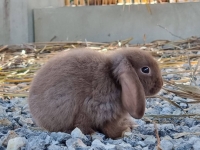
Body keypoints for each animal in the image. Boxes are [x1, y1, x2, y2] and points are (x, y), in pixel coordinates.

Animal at [27, 47, 162, 139]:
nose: (160, 85)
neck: (114, 80)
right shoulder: (97, 110)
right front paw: (123, 131)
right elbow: (107, 128)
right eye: (145, 69)